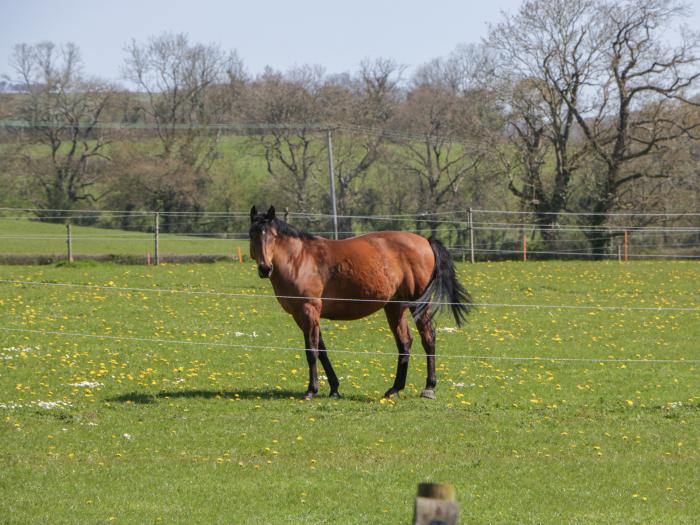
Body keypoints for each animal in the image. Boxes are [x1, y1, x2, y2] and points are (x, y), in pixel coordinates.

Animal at [249, 205, 474, 398]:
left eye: (272, 236)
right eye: (252, 234)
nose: (265, 268)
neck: (299, 259)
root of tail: (426, 241)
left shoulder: (309, 310)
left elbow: (311, 350)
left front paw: (312, 390)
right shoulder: (301, 315)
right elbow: (322, 350)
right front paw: (334, 388)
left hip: (417, 304)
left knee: (428, 337)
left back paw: (429, 387)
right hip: (395, 307)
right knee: (404, 342)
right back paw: (395, 388)